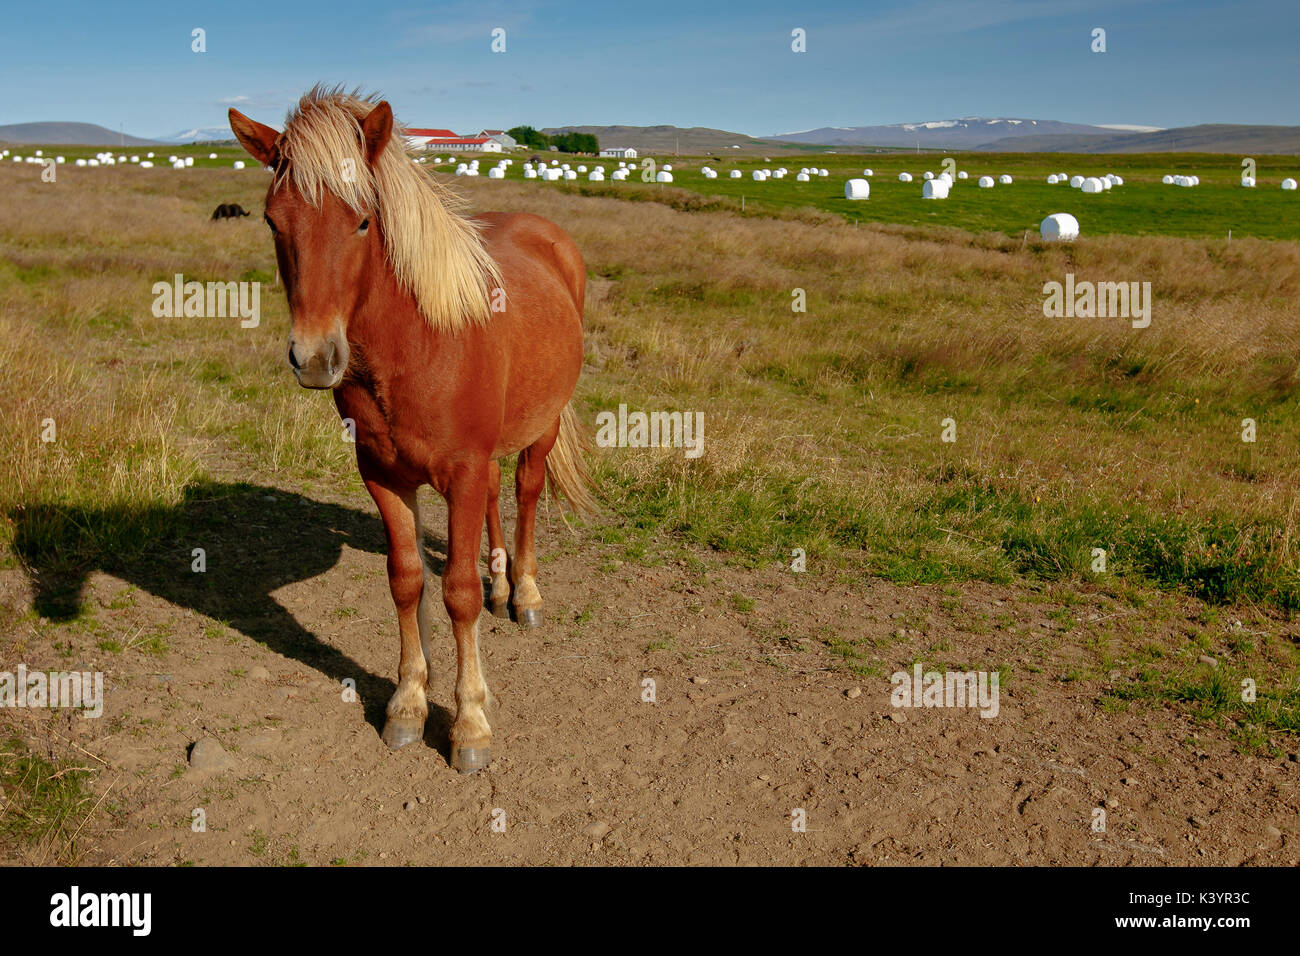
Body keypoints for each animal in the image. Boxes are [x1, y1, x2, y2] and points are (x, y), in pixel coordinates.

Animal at [229, 87, 594, 774]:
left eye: (362, 221)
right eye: (271, 221)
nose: (315, 357)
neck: (418, 344)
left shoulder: (462, 471)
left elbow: (456, 594)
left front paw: (470, 724)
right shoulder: (384, 476)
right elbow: (406, 581)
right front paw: (407, 704)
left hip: (544, 426)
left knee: (527, 492)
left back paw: (524, 594)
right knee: (495, 505)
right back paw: (502, 580)